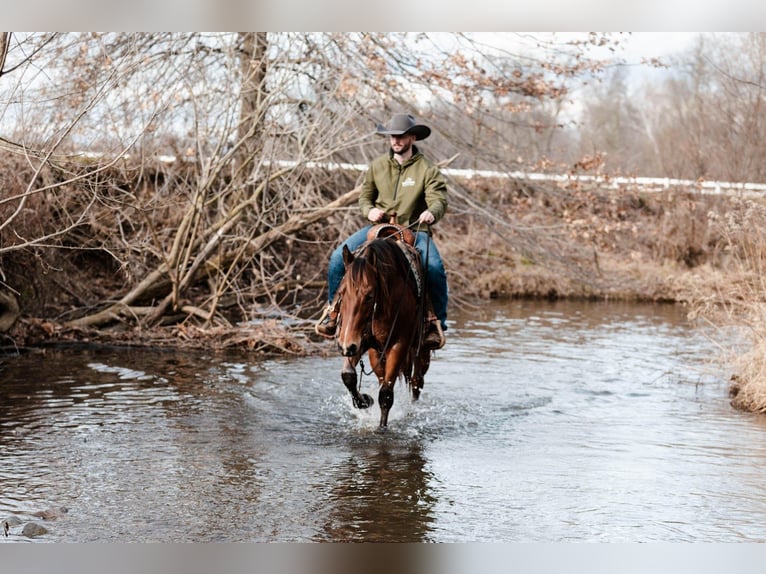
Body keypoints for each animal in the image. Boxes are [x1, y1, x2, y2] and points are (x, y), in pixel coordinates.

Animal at [334, 227, 433, 428]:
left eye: (370, 295)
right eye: (341, 293)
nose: (345, 345)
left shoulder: (398, 345)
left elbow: (386, 395)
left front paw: (382, 428)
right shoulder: (360, 341)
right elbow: (348, 375)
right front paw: (364, 401)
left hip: (421, 351)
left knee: (417, 382)